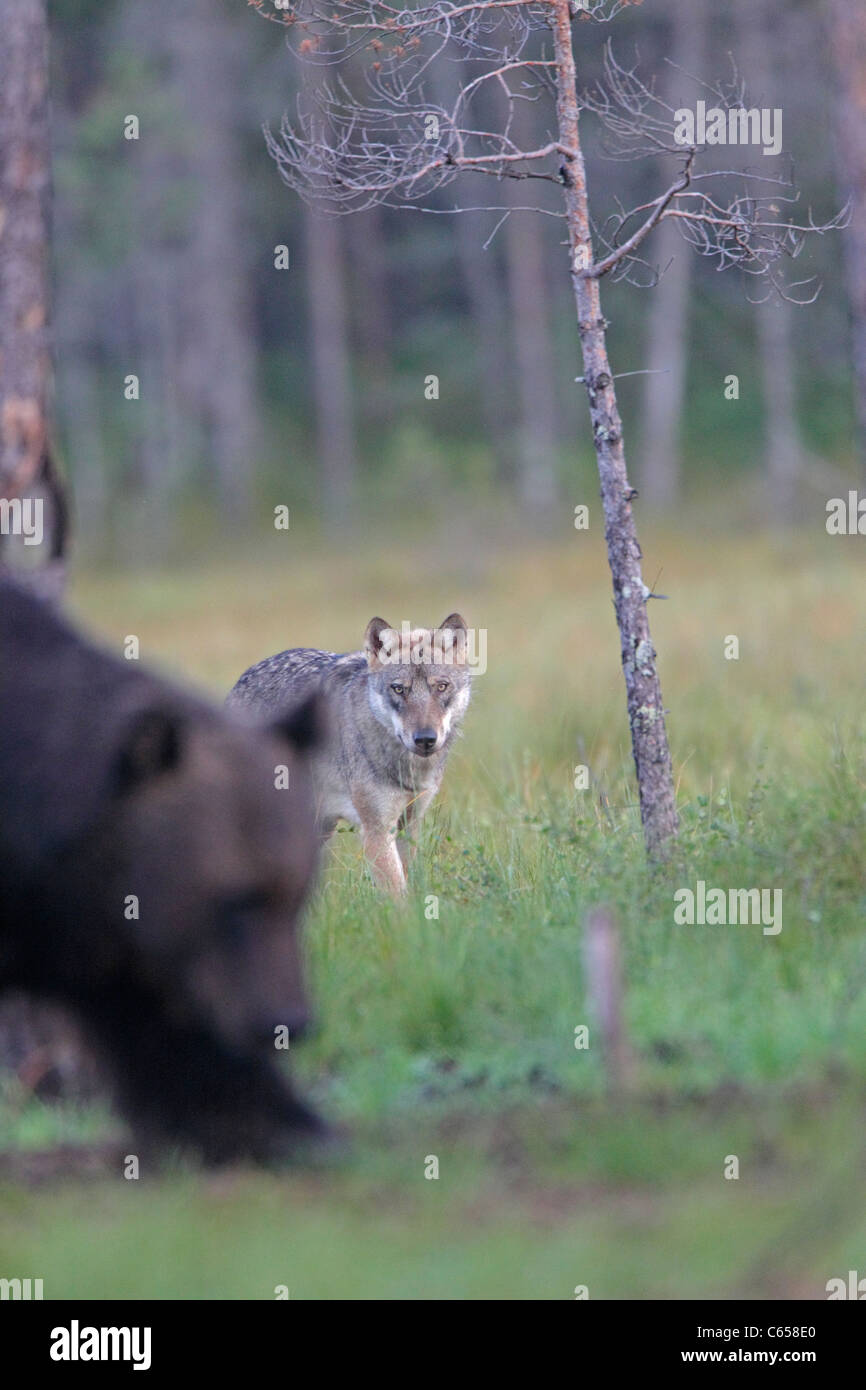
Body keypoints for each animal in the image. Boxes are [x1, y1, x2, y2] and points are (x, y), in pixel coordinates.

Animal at [226, 614, 469, 895]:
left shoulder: (410, 824)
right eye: (398, 689)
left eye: (441, 687)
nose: (426, 739)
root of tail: (244, 677)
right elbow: (397, 895)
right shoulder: (376, 831)